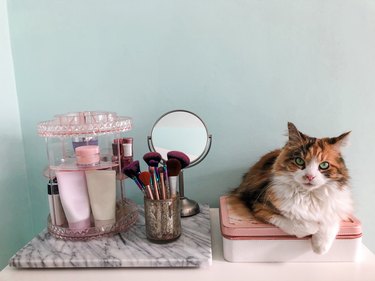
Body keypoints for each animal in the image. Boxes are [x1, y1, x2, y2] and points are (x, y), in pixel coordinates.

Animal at [232, 122, 352, 254]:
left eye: (324, 165)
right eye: (299, 161)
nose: (310, 176)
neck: (309, 195)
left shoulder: (337, 206)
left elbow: (329, 221)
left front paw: (319, 247)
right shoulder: (260, 206)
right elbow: (303, 224)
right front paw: (314, 228)